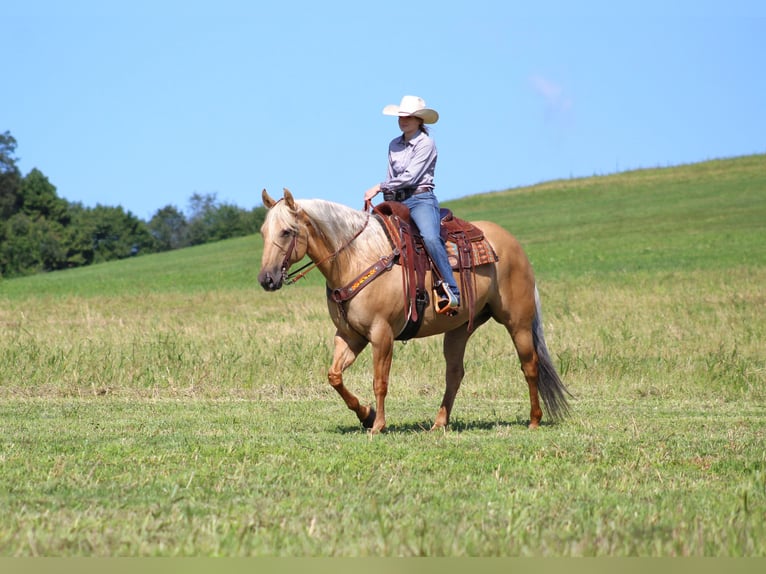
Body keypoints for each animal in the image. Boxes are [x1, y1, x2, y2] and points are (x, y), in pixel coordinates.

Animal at [258, 188, 568, 432]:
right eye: (263, 232)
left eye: (286, 231)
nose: (266, 279)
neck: (356, 258)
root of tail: (512, 244)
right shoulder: (350, 336)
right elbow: (334, 376)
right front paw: (366, 415)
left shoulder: (381, 334)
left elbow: (380, 381)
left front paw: (378, 425)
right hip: (458, 330)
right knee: (454, 373)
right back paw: (439, 423)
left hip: (518, 322)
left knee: (530, 365)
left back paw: (534, 420)